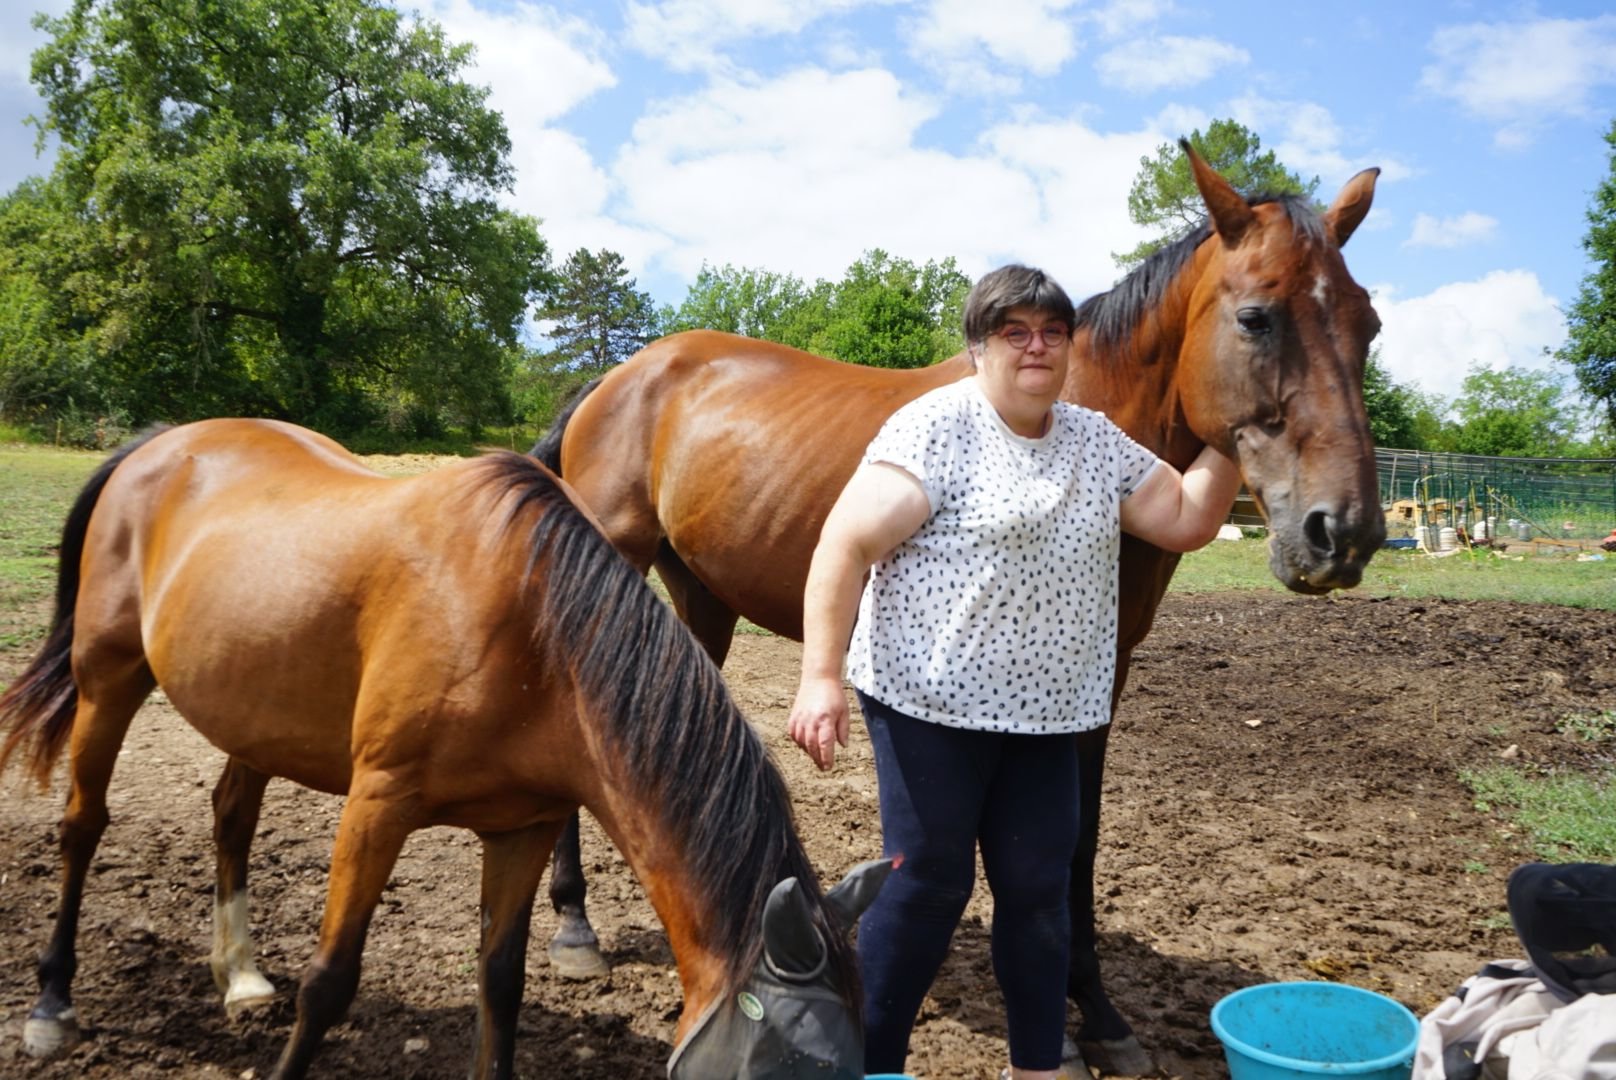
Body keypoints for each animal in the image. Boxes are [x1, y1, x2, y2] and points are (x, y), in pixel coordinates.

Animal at [0, 420, 898, 1080]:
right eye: (793, 1067)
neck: (537, 636)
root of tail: (156, 445)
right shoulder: (377, 804)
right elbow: (331, 980)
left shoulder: (526, 825)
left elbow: (500, 983)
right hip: (108, 678)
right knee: (83, 825)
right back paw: (52, 1008)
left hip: (253, 711)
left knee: (230, 818)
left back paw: (243, 975)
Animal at [533, 143, 1389, 1073]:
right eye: (1257, 318)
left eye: (1369, 325)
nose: (1344, 532)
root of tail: (618, 377)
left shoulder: (1100, 679)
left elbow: (1074, 846)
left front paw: (1098, 1017)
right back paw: (574, 925)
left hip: (700, 600)